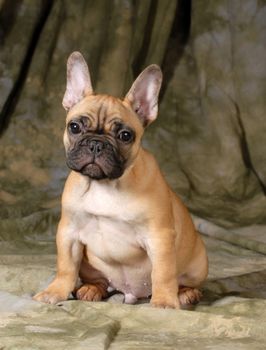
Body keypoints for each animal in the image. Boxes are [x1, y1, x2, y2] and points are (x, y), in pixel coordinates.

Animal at [33, 50, 208, 308]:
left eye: (125, 135)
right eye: (74, 127)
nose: (96, 144)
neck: (104, 185)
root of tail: (130, 292)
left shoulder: (159, 237)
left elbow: (163, 272)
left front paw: (165, 302)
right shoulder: (68, 233)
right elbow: (65, 267)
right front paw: (54, 291)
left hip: (198, 264)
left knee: (186, 281)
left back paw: (186, 293)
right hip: (89, 265)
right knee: (99, 280)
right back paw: (91, 289)